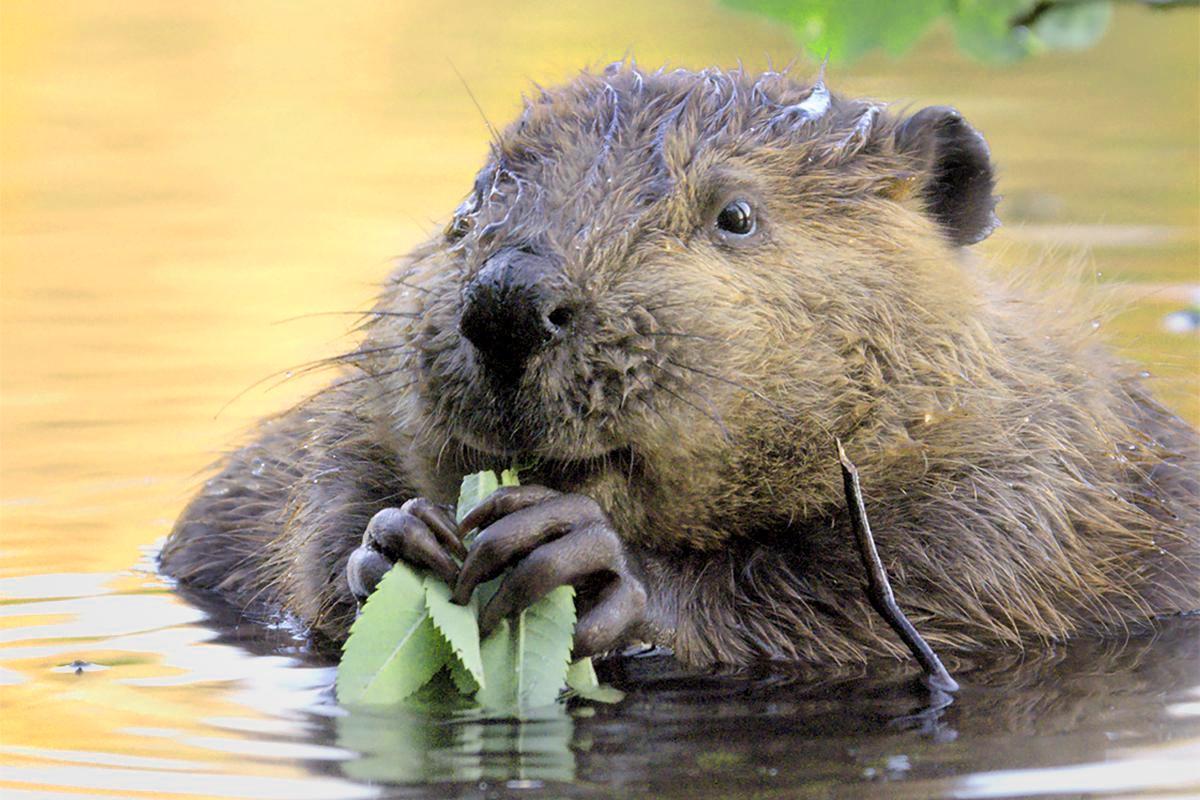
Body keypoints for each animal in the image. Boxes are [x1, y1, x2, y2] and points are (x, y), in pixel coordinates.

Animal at [162, 62, 1200, 666]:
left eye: (735, 215)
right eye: (470, 204)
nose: (508, 302)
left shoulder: (1033, 492)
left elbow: (889, 600)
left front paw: (587, 562)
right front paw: (390, 543)